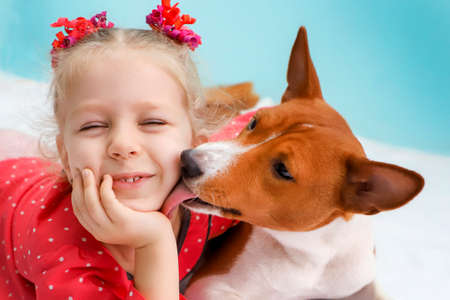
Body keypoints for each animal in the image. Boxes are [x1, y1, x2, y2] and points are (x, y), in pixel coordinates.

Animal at [180, 27, 426, 298]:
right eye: (254, 123)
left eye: (283, 170)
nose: (187, 161)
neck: (312, 259)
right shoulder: (211, 285)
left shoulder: (358, 279)